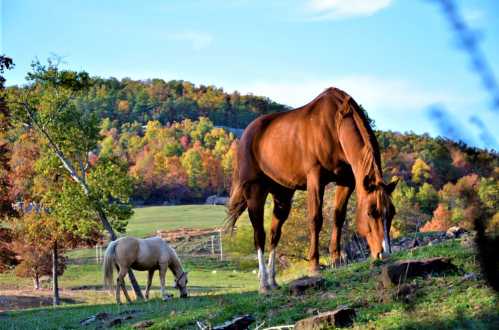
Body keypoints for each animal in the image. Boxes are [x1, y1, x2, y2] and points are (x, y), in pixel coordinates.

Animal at [228, 86, 398, 292]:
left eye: (392, 213)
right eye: (370, 213)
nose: (385, 254)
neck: (335, 124)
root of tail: (247, 134)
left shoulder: (346, 181)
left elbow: (338, 217)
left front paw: (336, 259)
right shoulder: (315, 179)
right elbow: (316, 219)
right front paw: (314, 265)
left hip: (282, 196)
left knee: (274, 234)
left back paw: (272, 280)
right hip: (255, 192)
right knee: (259, 234)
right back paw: (263, 284)